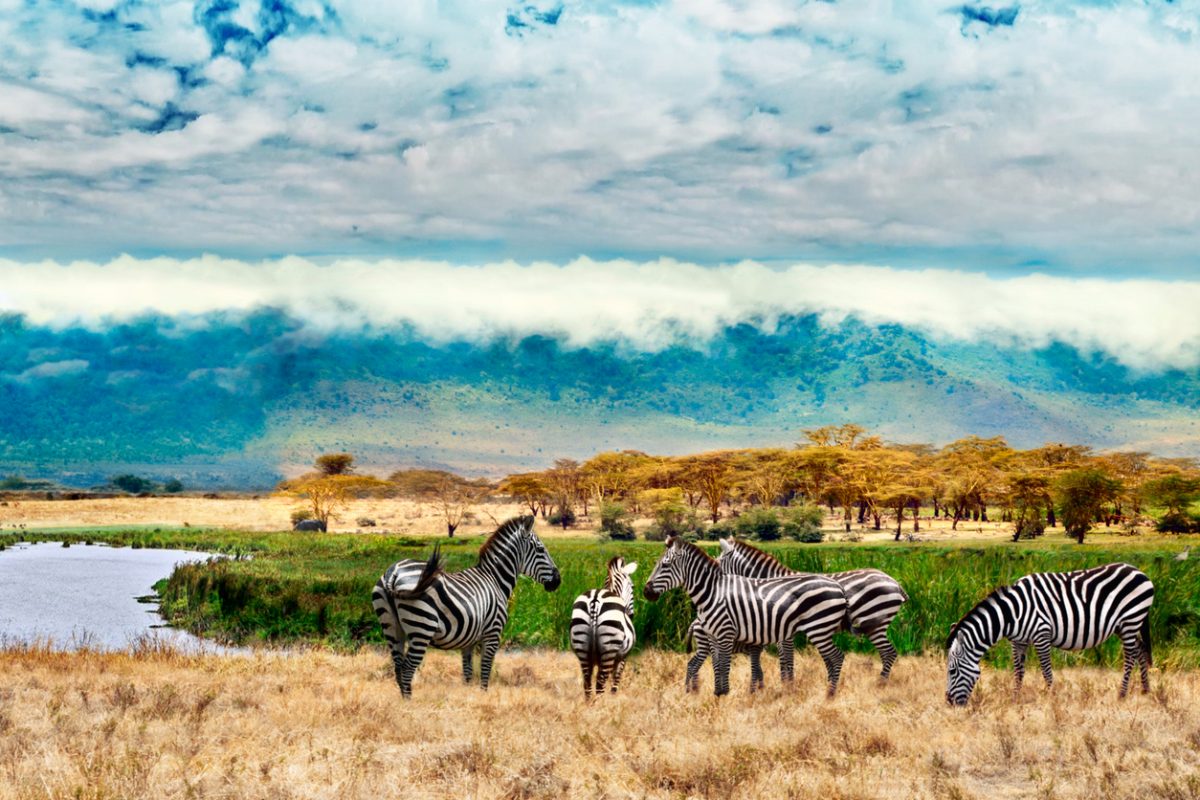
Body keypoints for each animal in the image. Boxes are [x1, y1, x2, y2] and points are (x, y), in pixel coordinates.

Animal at [371, 515, 561, 698]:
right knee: (407, 670)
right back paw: (410, 704)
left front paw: (468, 697)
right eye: (541, 550)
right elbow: (485, 669)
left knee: (398, 668)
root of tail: (394, 573)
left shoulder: (468, 640)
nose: (558, 581)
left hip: (392, 628)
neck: (495, 580)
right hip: (422, 628)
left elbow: (468, 673)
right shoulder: (493, 633)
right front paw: (483, 697)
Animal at [570, 556, 638, 698]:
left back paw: (590, 704)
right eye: (633, 587)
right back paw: (600, 704)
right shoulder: (623, 657)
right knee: (600, 683)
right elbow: (615, 681)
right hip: (609, 647)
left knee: (587, 681)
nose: (631, 615)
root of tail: (595, 600)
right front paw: (613, 698)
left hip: (581, 645)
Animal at [643, 536, 848, 697]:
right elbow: (720, 665)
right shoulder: (714, 635)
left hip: (818, 627)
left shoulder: (729, 633)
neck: (713, 593)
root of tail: (838, 587)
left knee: (836, 656)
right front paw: (719, 694)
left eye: (665, 565)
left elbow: (729, 665)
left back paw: (830, 695)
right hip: (821, 629)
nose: (646, 592)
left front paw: (727, 694)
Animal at [684, 538, 908, 691]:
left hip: (874, 623)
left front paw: (787, 686)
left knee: (888, 653)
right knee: (888, 653)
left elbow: (787, 659)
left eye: (718, 562)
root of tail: (894, 582)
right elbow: (785, 660)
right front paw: (786, 685)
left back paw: (880, 684)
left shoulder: (783, 629)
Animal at [945, 562, 1154, 706]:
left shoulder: (1041, 634)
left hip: (1130, 620)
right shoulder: (1018, 641)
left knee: (1130, 657)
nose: (948, 702)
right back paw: (1145, 690)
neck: (1012, 613)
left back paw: (1122, 694)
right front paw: (1015, 699)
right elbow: (1018, 671)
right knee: (1140, 650)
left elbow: (1046, 671)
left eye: (952, 671)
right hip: (1126, 625)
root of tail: (1140, 572)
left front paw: (1051, 698)